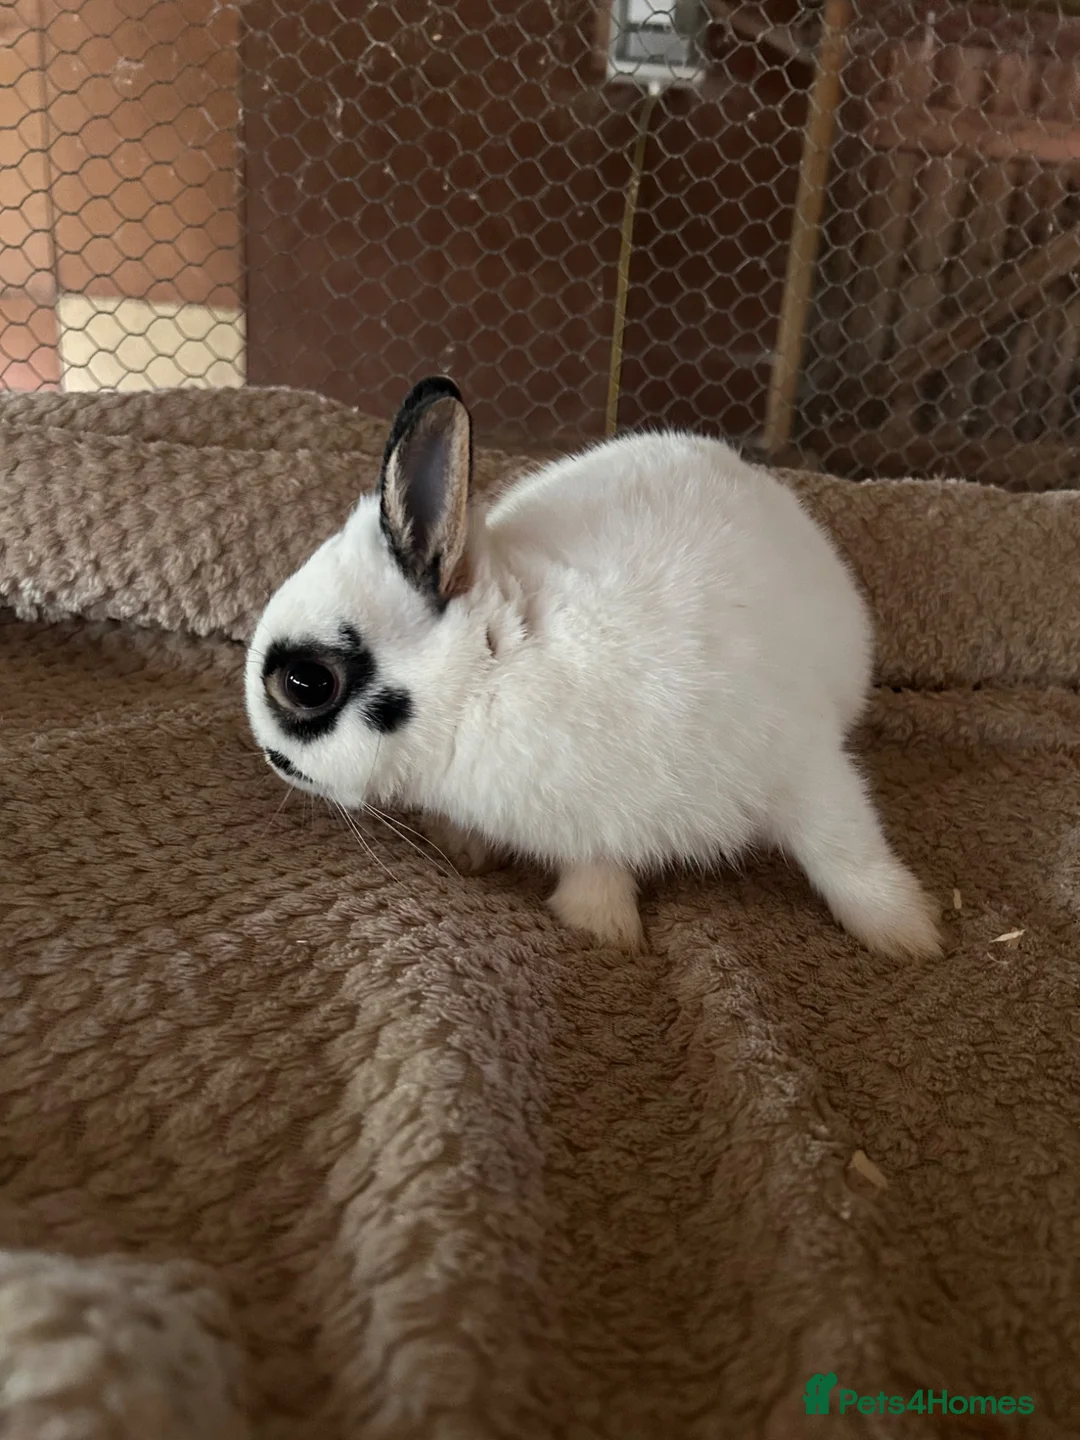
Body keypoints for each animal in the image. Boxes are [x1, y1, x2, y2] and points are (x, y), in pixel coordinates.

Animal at [244, 375, 941, 960]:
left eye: (307, 683)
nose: (273, 760)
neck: (492, 677)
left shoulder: (802, 764)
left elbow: (843, 849)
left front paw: (909, 937)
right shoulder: (594, 824)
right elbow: (597, 868)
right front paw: (603, 928)